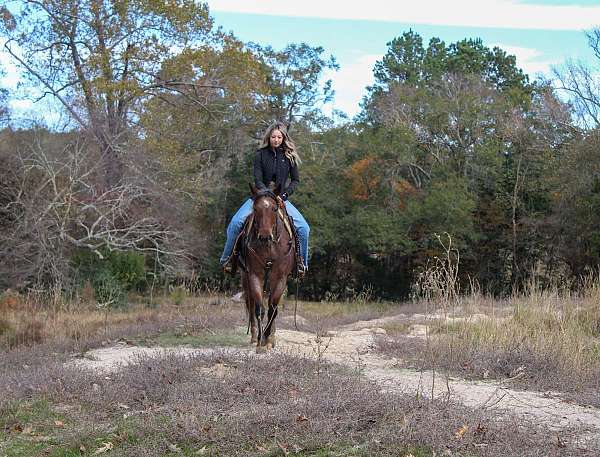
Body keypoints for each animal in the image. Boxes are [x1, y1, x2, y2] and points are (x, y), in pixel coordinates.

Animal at [240, 183, 294, 350]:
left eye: (274, 209)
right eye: (255, 208)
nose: (264, 237)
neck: (270, 248)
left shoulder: (281, 280)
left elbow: (272, 310)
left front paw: (268, 339)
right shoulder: (254, 276)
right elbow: (259, 309)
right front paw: (259, 340)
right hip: (246, 280)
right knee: (251, 305)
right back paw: (254, 336)